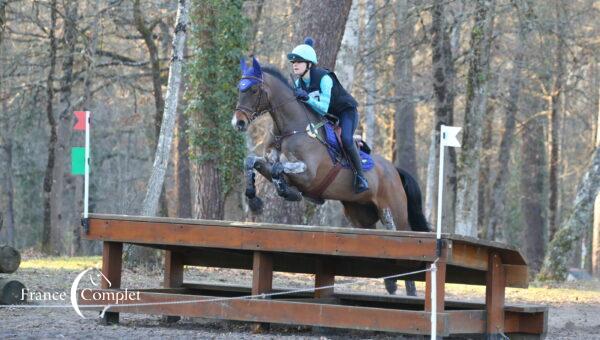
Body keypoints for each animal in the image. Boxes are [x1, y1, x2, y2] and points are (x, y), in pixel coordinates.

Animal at [230, 56, 426, 294]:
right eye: (239, 88)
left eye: (254, 90)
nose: (238, 123)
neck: (290, 129)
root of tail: (395, 170)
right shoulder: (268, 161)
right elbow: (252, 161)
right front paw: (255, 199)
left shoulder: (309, 173)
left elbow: (279, 169)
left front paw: (287, 192)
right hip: (360, 215)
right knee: (376, 237)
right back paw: (390, 282)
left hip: (394, 210)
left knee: (406, 235)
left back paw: (410, 287)